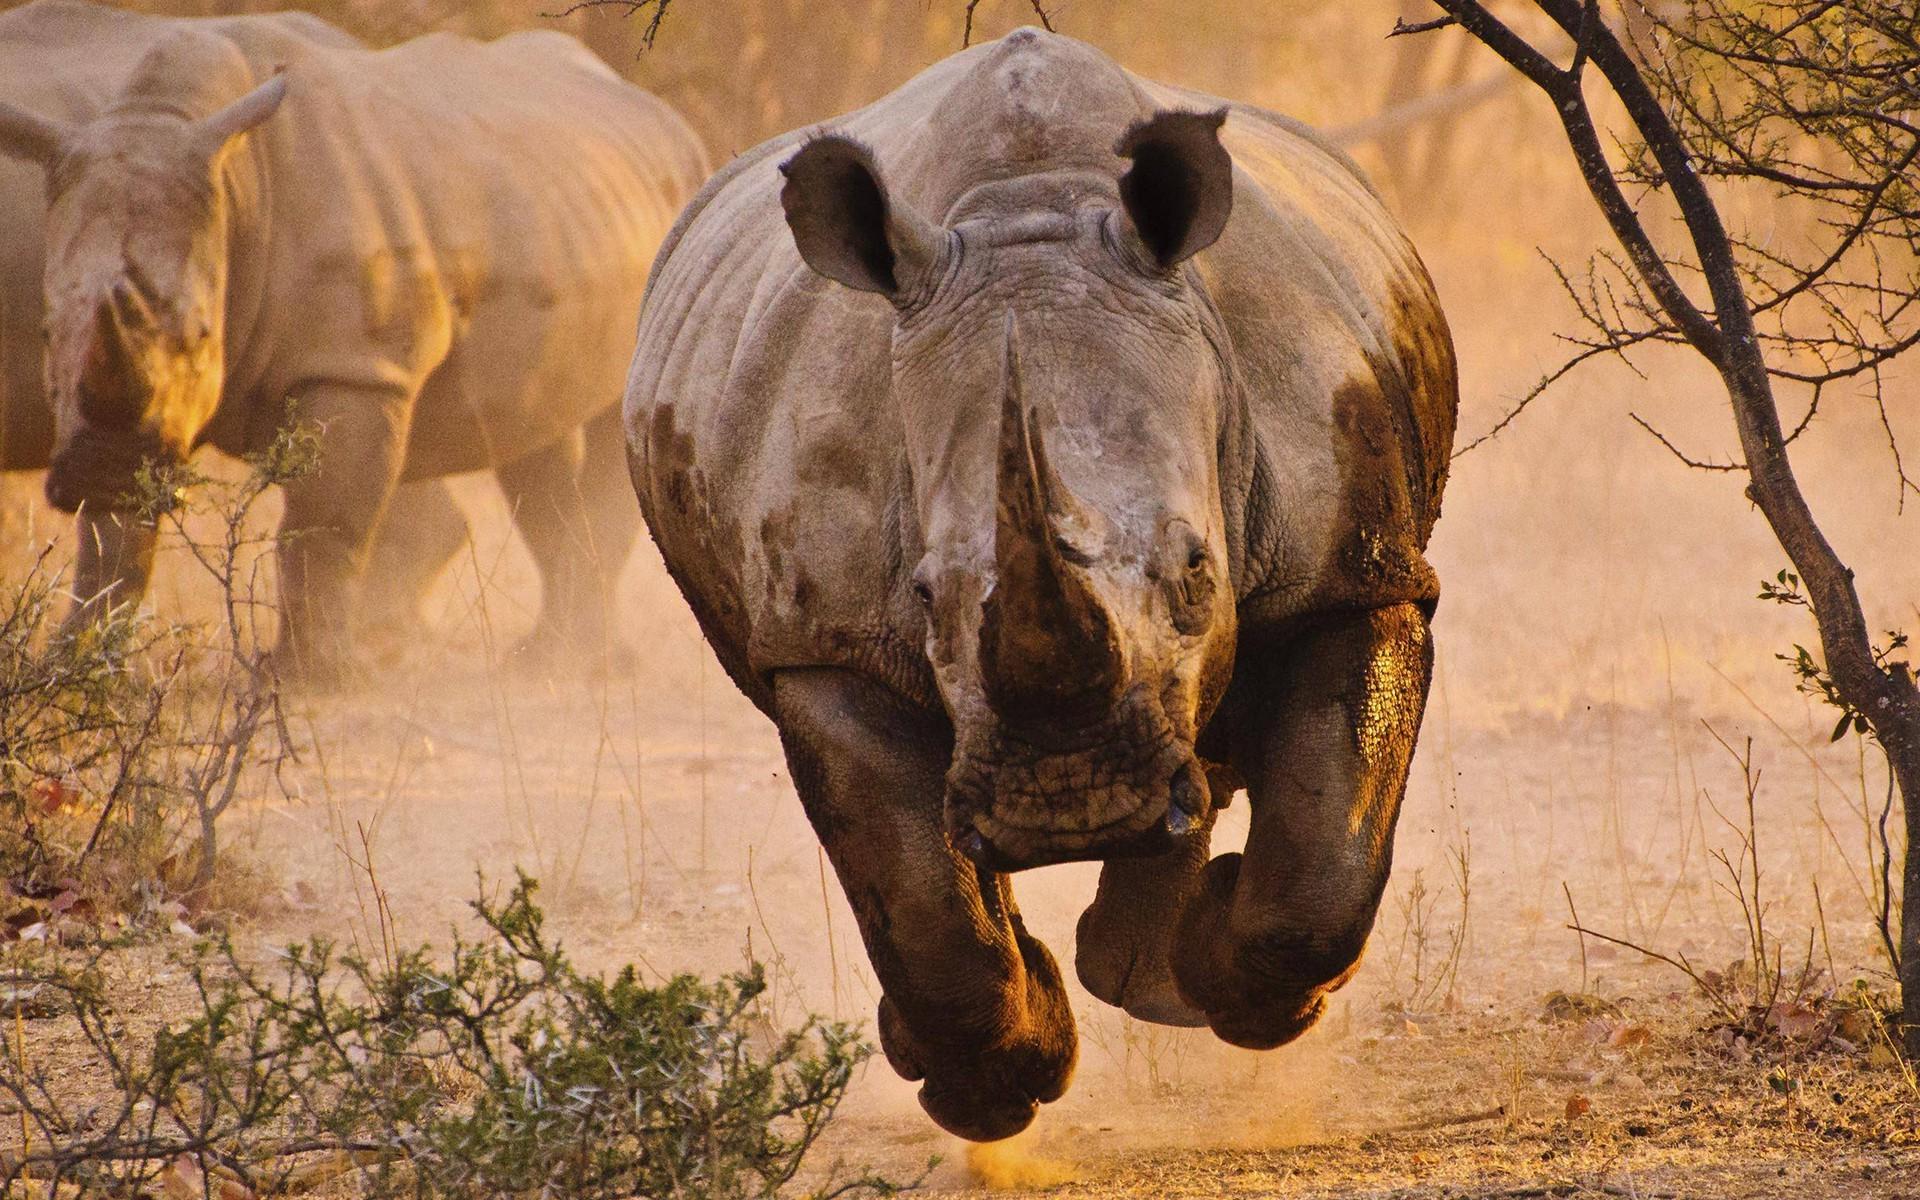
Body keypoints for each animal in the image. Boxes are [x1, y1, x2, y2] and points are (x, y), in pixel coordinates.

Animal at [0, 0, 709, 675]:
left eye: (201, 333)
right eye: (46, 333)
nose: (100, 468)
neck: (236, 188)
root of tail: (667, 117)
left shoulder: (355, 367)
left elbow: (323, 527)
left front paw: (310, 681)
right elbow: (112, 542)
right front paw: (73, 668)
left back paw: (576, 668)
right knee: (534, 436)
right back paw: (550, 660)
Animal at [627, 29, 1456, 1140]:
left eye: (1199, 572)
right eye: (924, 597)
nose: (1070, 802)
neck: (1031, 211)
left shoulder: (1354, 567)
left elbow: (1323, 864)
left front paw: (1242, 992)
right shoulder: (824, 643)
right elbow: (922, 904)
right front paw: (992, 1089)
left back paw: (1150, 978)